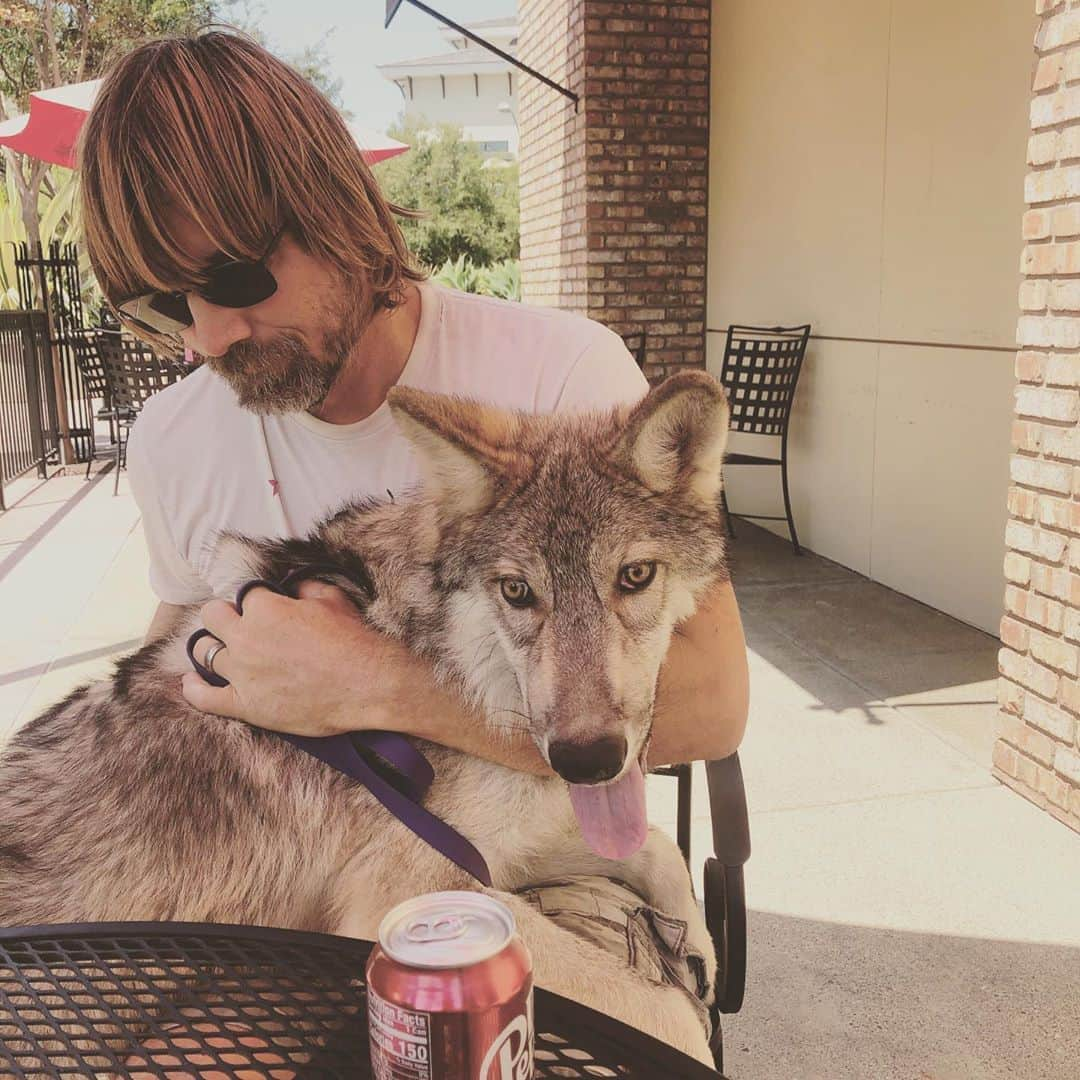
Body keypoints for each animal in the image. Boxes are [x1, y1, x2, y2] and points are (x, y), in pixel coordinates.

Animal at [0, 369, 734, 1062]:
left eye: (635, 576)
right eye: (517, 591)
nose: (586, 760)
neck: (432, 644)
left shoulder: (509, 845)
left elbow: (658, 846)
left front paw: (700, 943)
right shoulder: (404, 893)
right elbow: (666, 1016)